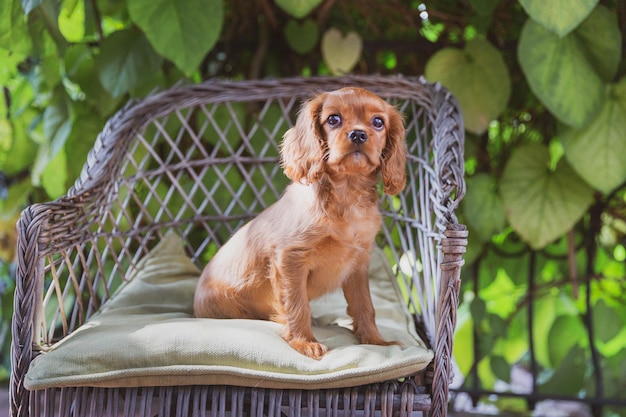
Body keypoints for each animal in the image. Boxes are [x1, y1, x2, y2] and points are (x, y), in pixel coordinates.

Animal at [196, 87, 410, 358]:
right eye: (333, 119)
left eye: (378, 122)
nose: (358, 134)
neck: (347, 196)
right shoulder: (290, 260)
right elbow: (297, 304)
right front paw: (303, 342)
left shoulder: (358, 264)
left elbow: (365, 305)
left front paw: (375, 341)